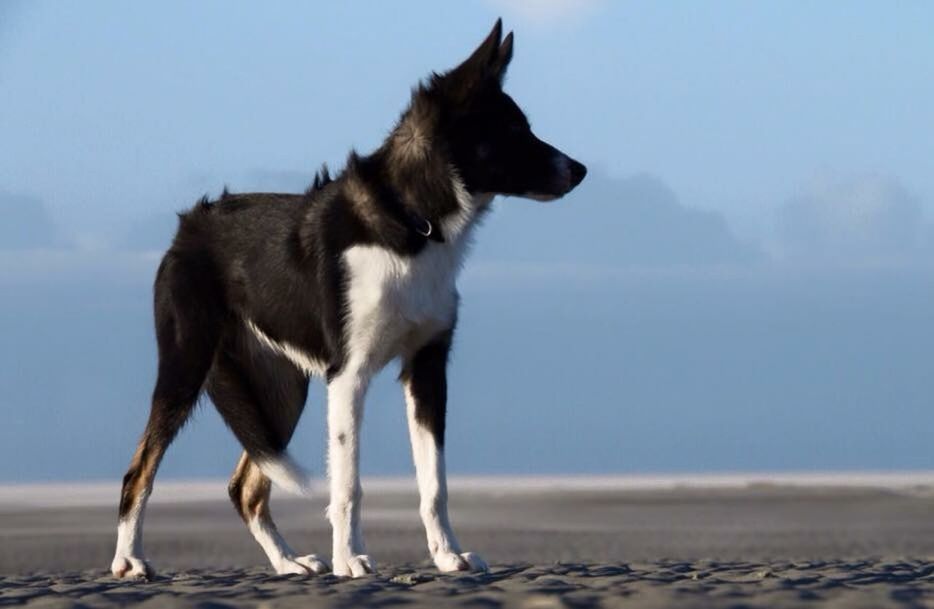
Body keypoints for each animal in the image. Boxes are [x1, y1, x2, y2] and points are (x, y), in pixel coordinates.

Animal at [111, 19, 584, 576]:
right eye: (512, 130)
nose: (579, 170)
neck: (412, 221)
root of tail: (187, 228)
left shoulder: (427, 367)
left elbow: (435, 483)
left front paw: (447, 555)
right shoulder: (349, 375)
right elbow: (349, 484)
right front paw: (351, 560)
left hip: (283, 390)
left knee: (246, 488)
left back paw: (288, 563)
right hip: (186, 366)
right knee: (140, 469)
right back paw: (129, 561)